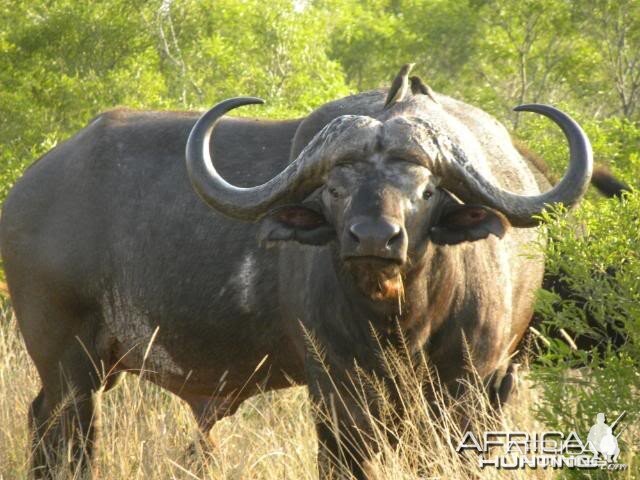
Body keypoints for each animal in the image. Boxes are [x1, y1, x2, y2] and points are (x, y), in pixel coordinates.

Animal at [0, 68, 592, 480]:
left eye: (426, 190)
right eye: (334, 188)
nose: (373, 238)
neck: (402, 322)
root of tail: (29, 188)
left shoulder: (474, 386)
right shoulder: (335, 390)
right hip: (68, 361)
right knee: (67, 437)